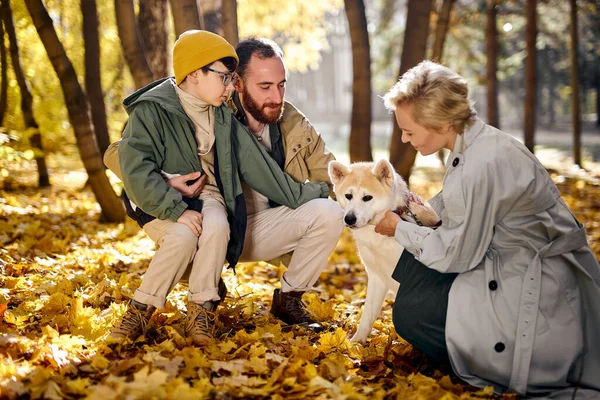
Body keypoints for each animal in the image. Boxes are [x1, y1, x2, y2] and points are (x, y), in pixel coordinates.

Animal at [330, 159, 438, 340]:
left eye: (367, 198)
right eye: (348, 196)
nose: (349, 219)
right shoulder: (376, 276)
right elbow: (367, 316)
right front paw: (356, 343)